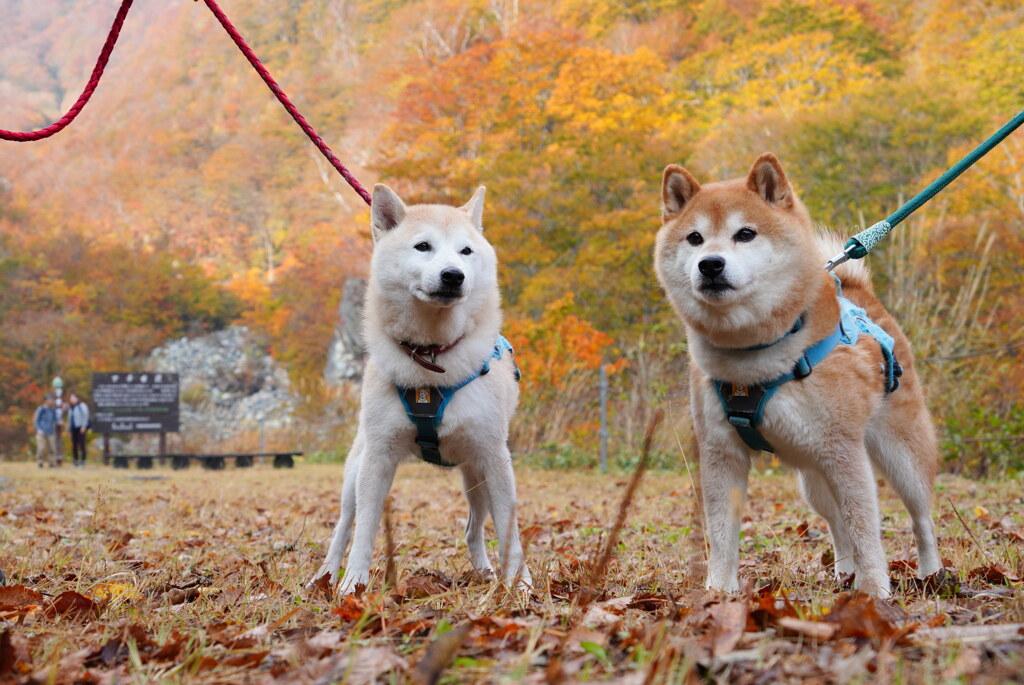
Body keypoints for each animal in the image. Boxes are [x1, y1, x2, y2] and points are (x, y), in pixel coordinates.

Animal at [313, 183, 532, 593]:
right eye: (423, 246)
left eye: (466, 251)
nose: (453, 275)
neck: (431, 358)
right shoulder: (378, 459)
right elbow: (363, 532)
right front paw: (353, 585)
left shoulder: (494, 458)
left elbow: (509, 532)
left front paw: (521, 585)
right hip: (355, 471)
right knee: (343, 526)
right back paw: (325, 576)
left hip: (476, 476)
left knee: (472, 530)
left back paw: (484, 573)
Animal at [659, 152, 937, 593]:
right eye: (695, 239)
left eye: (745, 234)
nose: (710, 264)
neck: (752, 356)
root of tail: (858, 291)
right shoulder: (722, 454)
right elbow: (721, 534)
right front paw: (719, 591)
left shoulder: (844, 452)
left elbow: (866, 529)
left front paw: (875, 592)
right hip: (813, 476)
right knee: (837, 523)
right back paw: (844, 572)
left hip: (899, 455)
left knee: (920, 518)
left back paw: (931, 573)